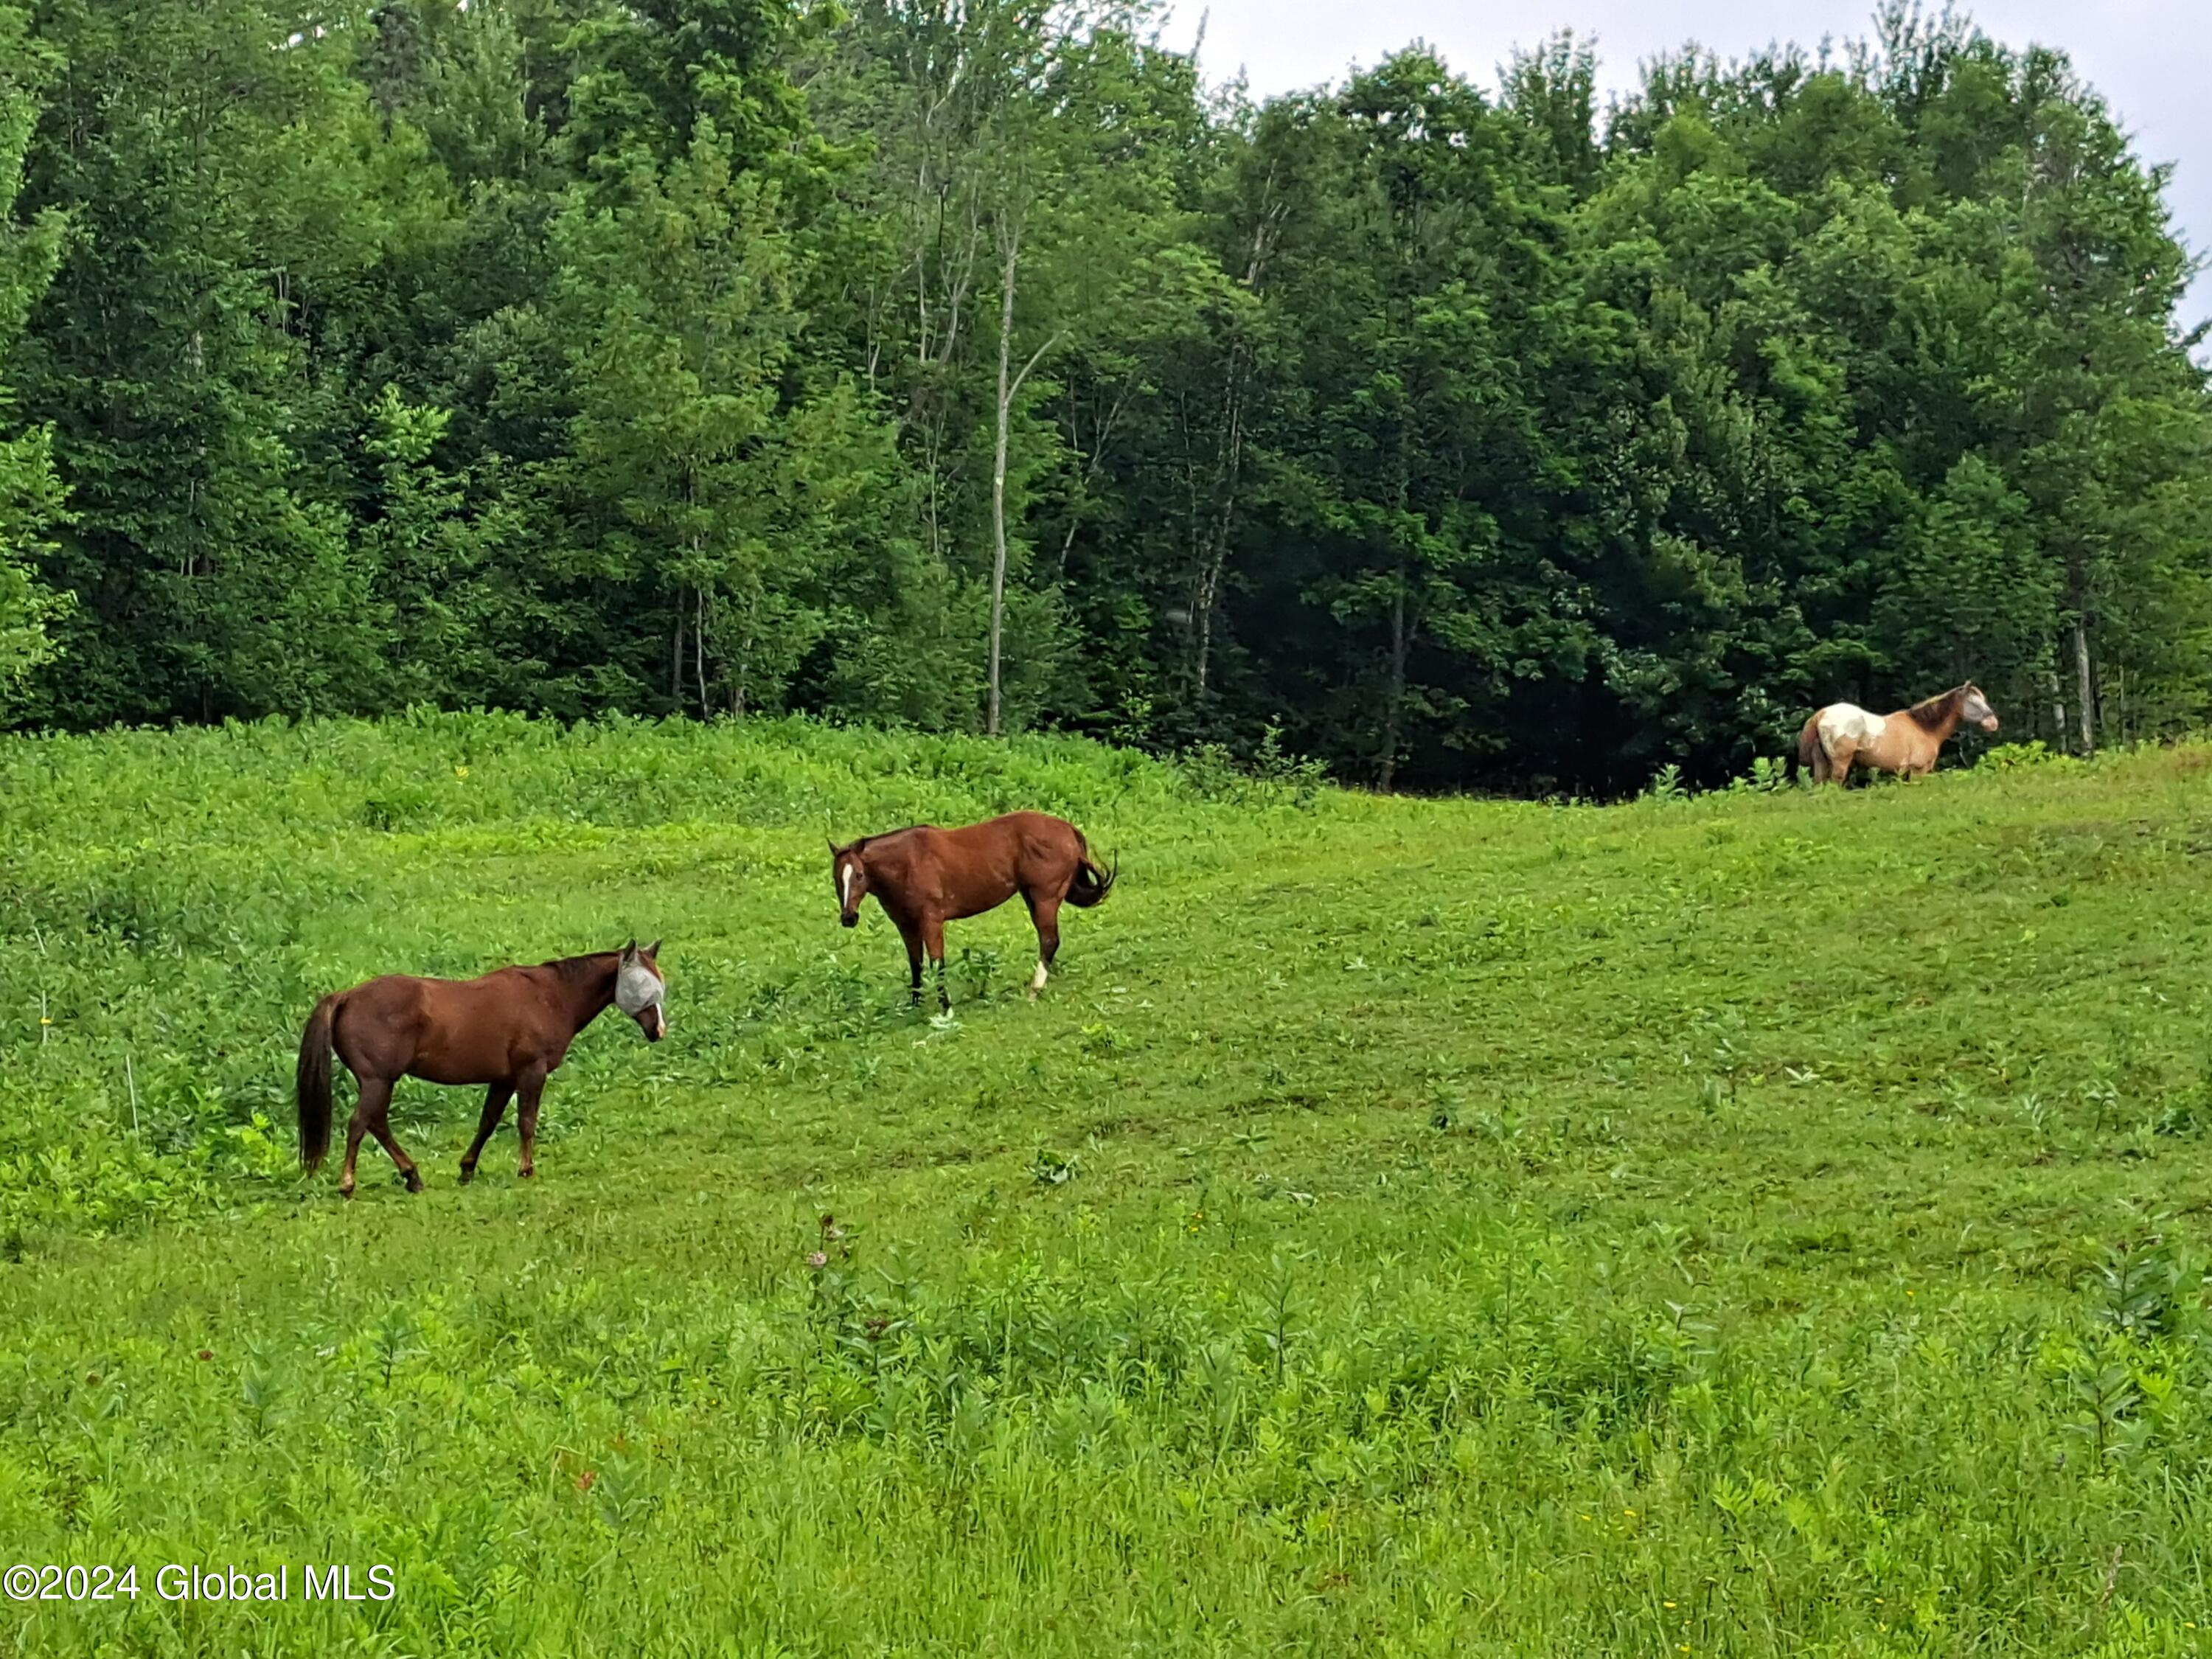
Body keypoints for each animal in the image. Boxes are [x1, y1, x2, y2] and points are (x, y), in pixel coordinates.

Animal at [296, 940, 665, 1196]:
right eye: (642, 985)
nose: (658, 1030)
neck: (550, 995)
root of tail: (346, 996)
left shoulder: (503, 1079)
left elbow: (487, 1123)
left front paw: (467, 1169)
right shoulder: (531, 1072)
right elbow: (526, 1123)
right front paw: (526, 1170)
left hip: (379, 1083)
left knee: (377, 1124)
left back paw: (412, 1176)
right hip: (378, 1080)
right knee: (361, 1123)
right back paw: (349, 1183)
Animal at [829, 812, 1116, 1007]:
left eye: (859, 875)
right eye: (836, 877)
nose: (848, 918)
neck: (907, 863)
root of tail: (1069, 829)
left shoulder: (931, 920)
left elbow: (937, 963)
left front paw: (945, 1007)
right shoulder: (905, 924)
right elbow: (916, 964)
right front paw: (915, 1004)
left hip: (1044, 898)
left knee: (1049, 941)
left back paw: (1034, 991)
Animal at [1797, 684, 1998, 785]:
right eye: (1974, 702)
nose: (1993, 724)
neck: (1924, 727)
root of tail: (1821, 714)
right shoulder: (1918, 770)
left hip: (1822, 762)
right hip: (1840, 763)